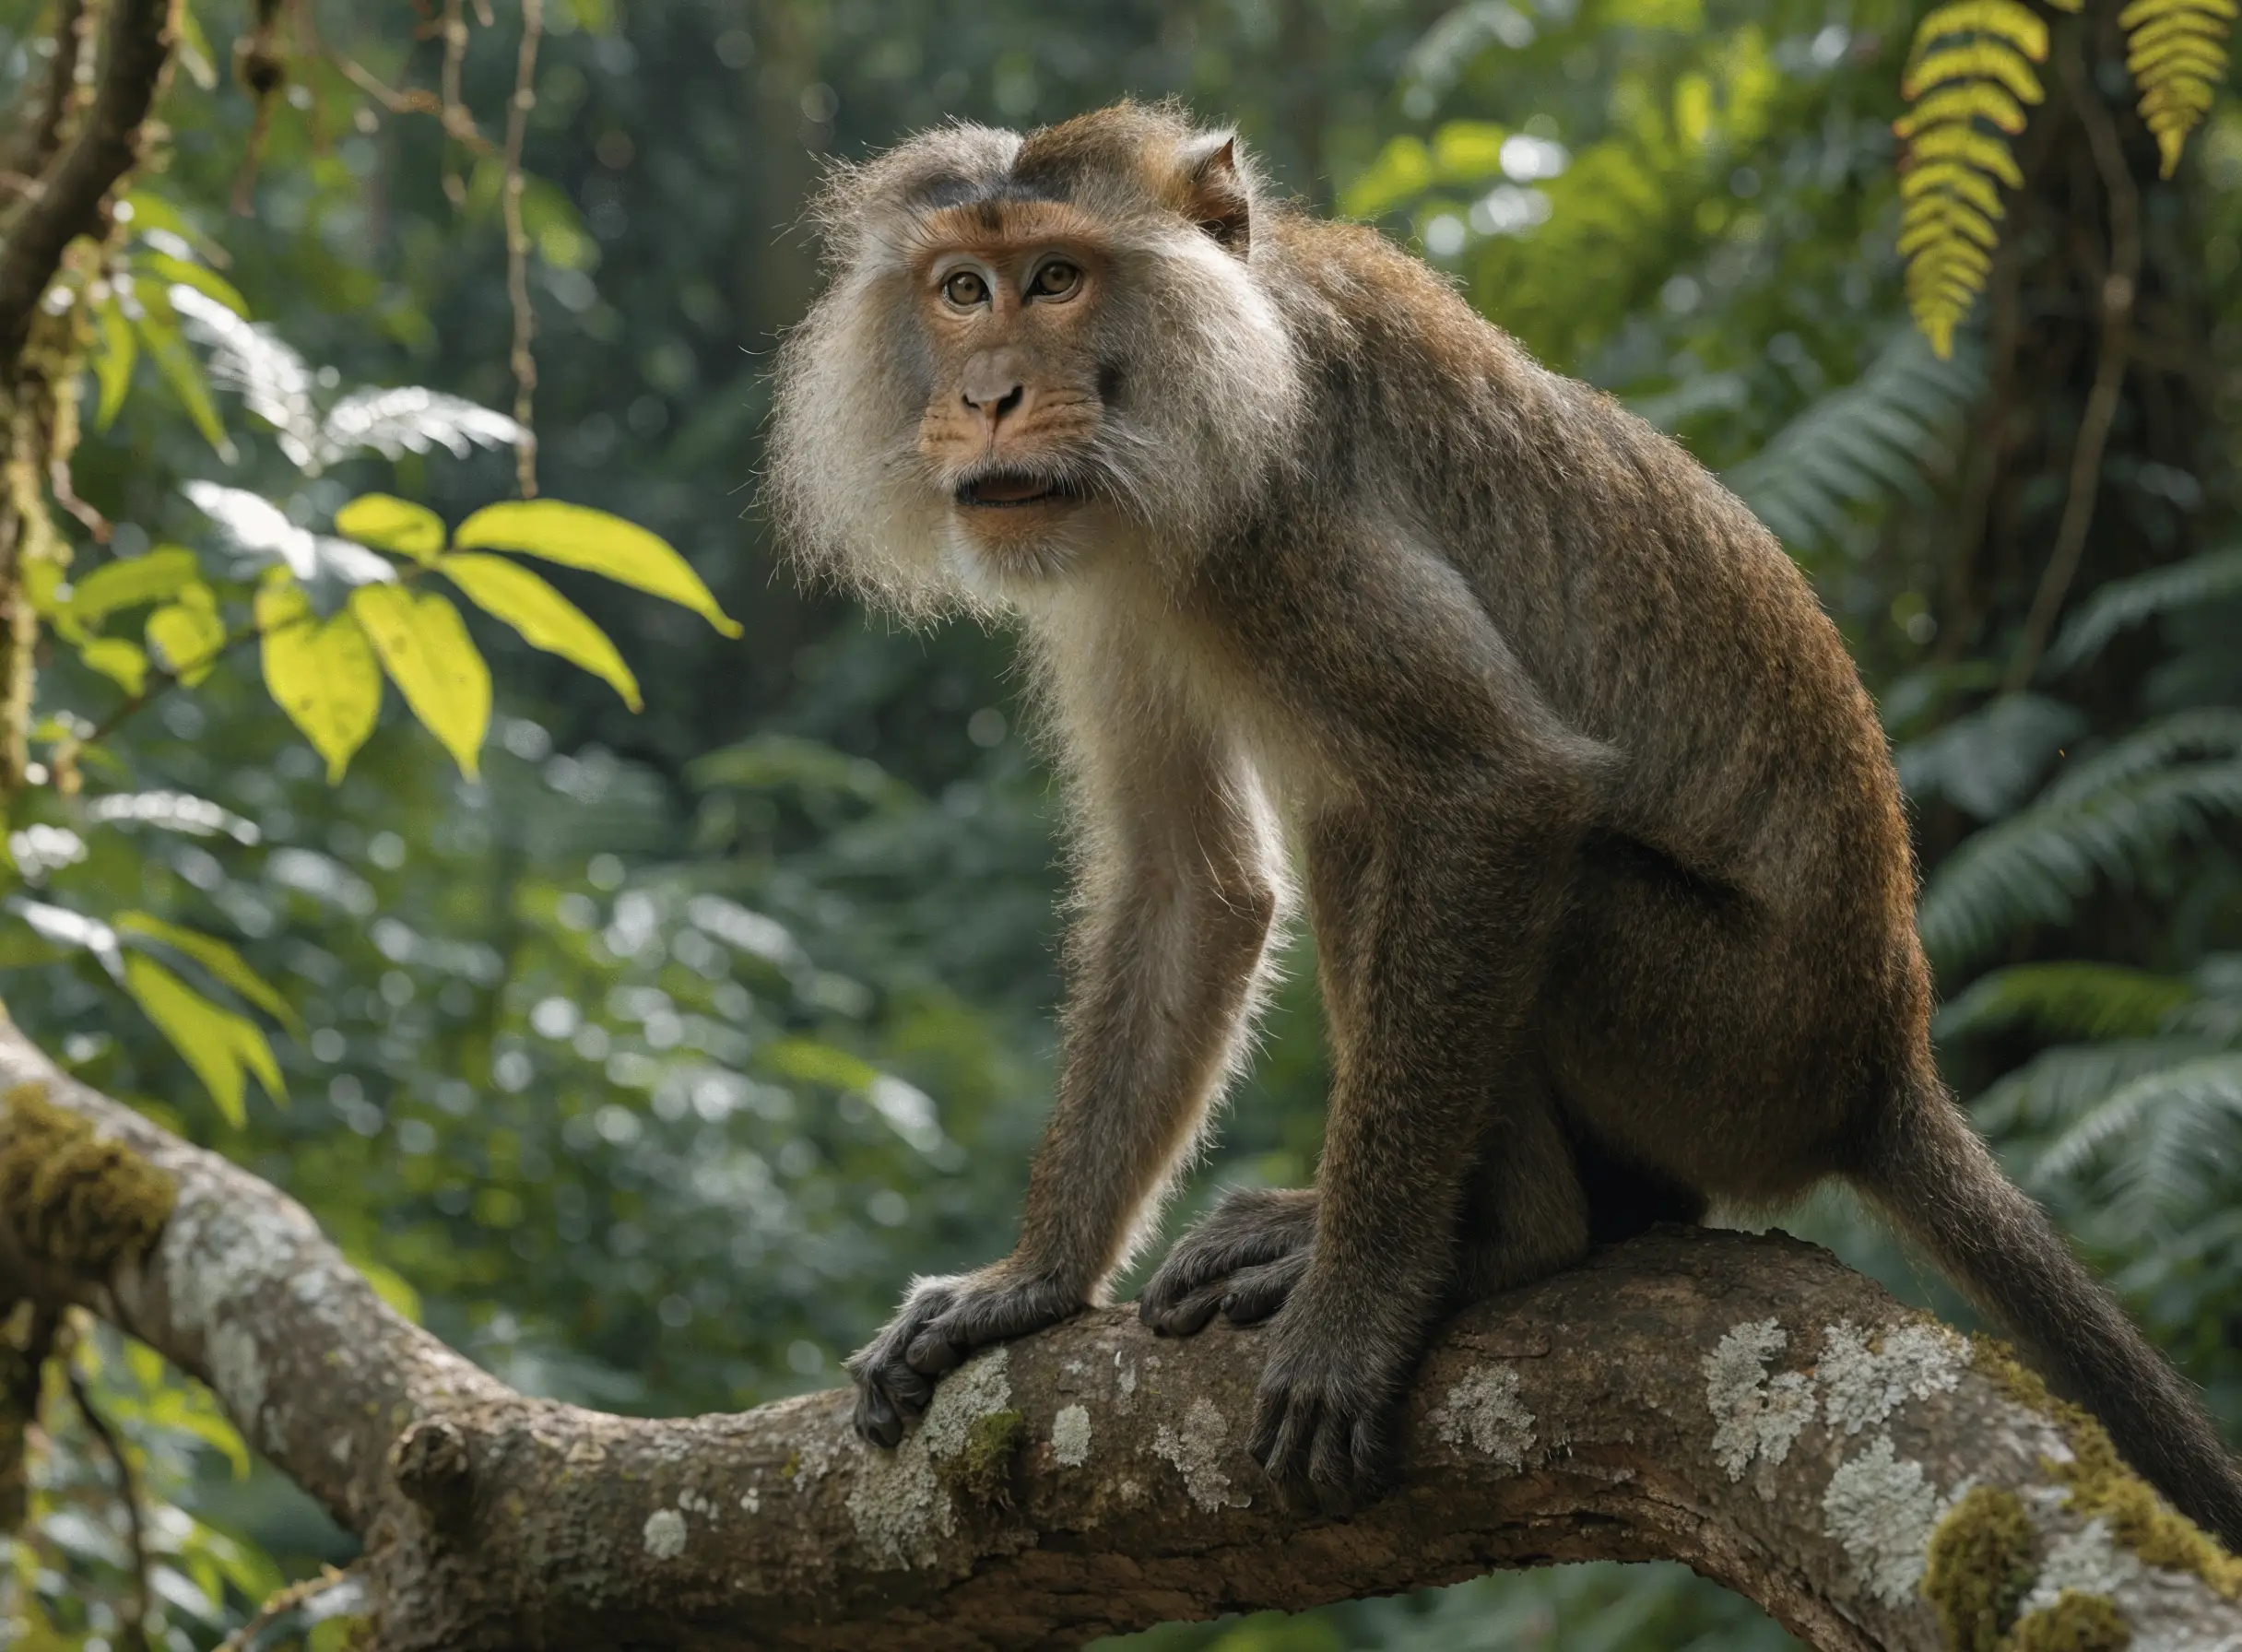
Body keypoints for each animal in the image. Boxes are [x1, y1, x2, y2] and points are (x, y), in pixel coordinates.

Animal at [765, 101, 2242, 1540]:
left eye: (1057, 280)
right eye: (962, 289)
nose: (987, 396)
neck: (1218, 361)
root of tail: (1884, 1057)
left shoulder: (1286, 524)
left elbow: (1499, 788)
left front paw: (1359, 1310)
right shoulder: (1113, 573)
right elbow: (1193, 887)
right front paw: (1031, 1279)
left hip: (1731, 1044)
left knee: (1407, 836)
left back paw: (1488, 1240)